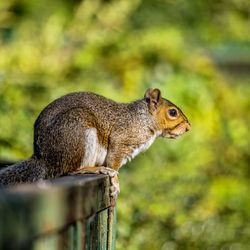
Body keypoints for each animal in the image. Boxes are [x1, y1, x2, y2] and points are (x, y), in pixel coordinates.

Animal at [0, 88, 190, 199]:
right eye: (173, 112)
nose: (188, 127)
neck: (143, 119)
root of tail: (44, 158)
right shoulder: (121, 140)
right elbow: (113, 163)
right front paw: (115, 184)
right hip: (78, 130)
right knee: (69, 170)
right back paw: (94, 169)